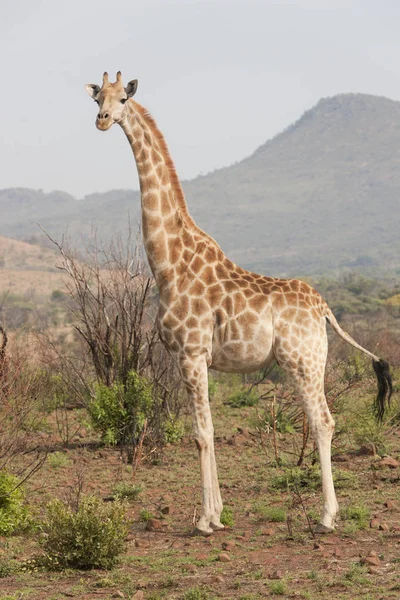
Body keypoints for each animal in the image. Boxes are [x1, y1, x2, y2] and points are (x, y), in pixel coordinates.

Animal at [84, 72, 390, 536]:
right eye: (96, 97)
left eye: (123, 99)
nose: (102, 120)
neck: (168, 262)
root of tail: (324, 309)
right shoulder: (193, 359)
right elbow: (205, 430)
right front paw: (217, 514)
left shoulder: (191, 353)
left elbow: (201, 433)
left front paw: (205, 520)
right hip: (311, 361)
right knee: (325, 419)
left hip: (303, 361)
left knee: (323, 421)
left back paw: (326, 517)